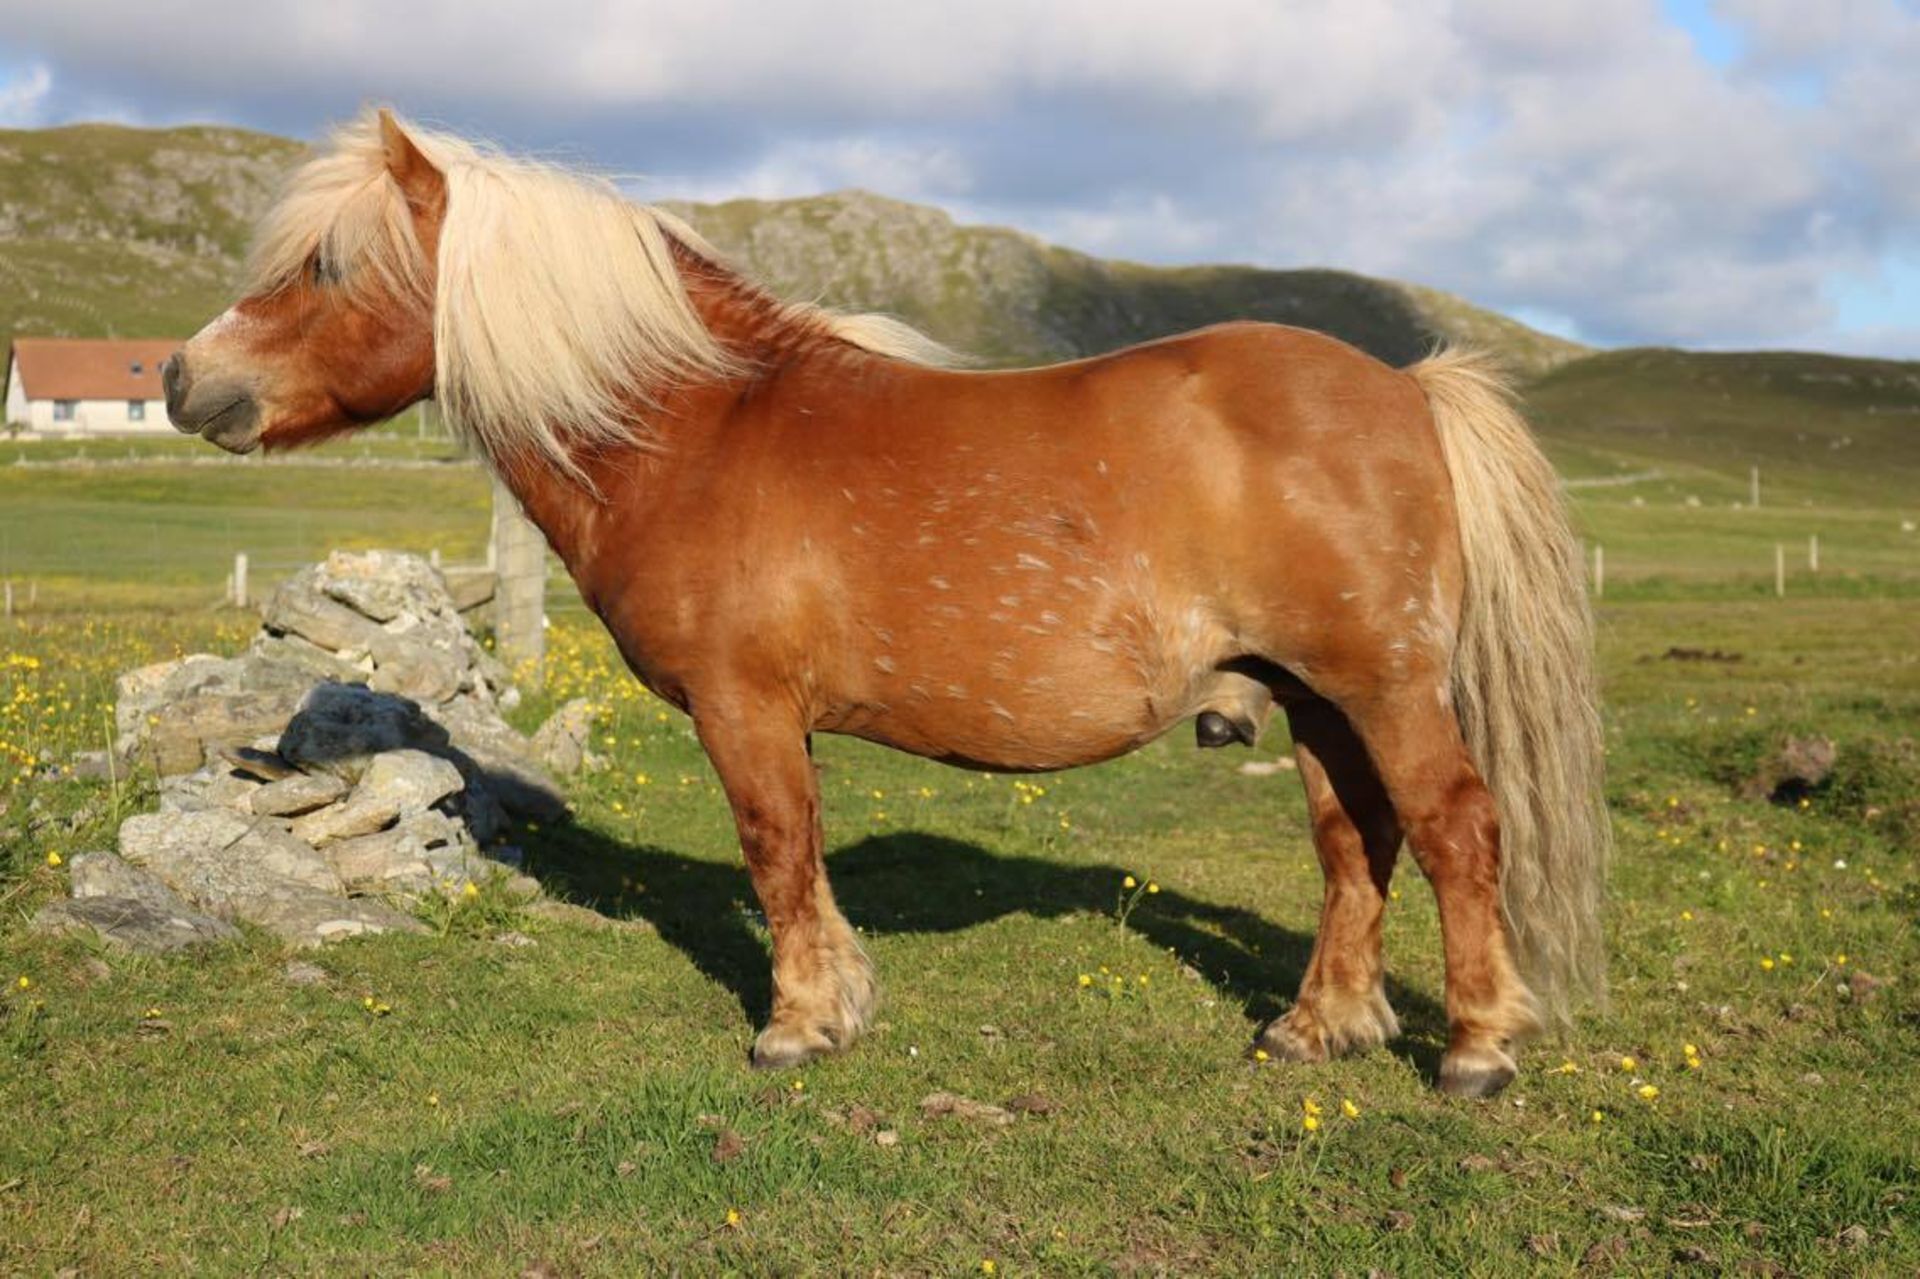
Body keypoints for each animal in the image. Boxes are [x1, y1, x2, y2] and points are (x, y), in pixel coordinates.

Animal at [168, 109, 1605, 1090]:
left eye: (326, 268)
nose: (185, 380)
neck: (694, 430)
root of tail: (1404, 384)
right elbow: (799, 854)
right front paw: (839, 1001)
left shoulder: (743, 708)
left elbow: (775, 850)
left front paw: (798, 1023)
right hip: (1316, 698)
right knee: (1357, 840)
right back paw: (1315, 1025)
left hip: (1383, 683)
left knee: (1455, 825)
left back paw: (1477, 1047)